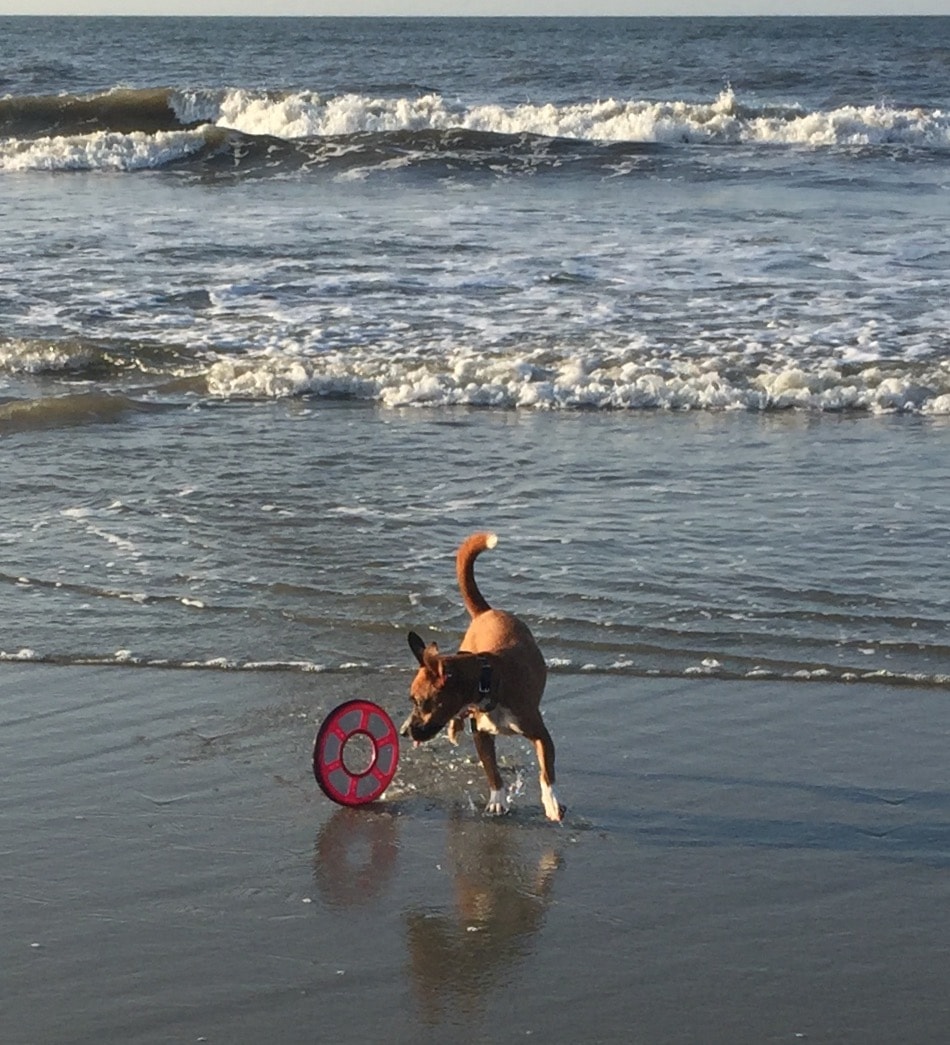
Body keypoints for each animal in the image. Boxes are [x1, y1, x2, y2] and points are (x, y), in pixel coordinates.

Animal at [401, 535, 564, 819]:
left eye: (420, 702)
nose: (403, 733)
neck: (488, 682)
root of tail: (487, 612)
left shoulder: (540, 735)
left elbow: (547, 773)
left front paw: (552, 804)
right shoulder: (481, 734)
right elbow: (492, 770)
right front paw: (498, 799)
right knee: (460, 720)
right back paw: (454, 728)